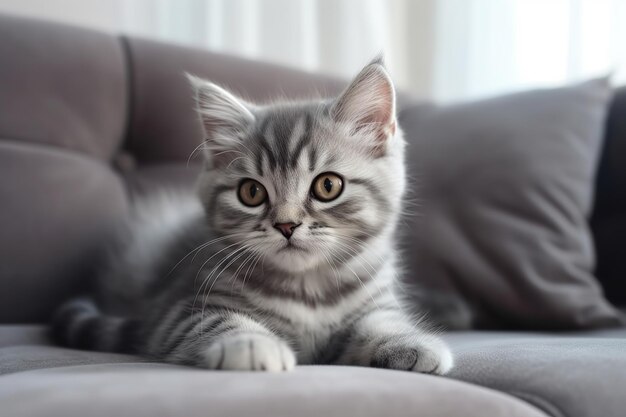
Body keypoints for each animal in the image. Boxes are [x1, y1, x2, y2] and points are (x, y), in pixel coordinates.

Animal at [51, 58, 450, 374]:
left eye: (327, 186)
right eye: (252, 193)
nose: (286, 225)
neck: (309, 290)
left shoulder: (376, 300)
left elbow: (383, 320)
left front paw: (408, 342)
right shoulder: (176, 309)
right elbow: (218, 321)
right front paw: (250, 345)